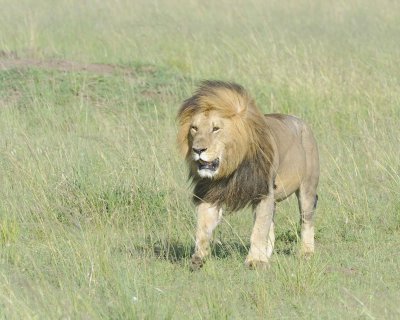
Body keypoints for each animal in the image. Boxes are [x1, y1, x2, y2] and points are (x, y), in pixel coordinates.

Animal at [177, 80, 318, 270]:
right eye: (194, 128)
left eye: (216, 129)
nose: (198, 150)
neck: (231, 167)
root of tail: (303, 122)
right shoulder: (210, 193)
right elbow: (203, 227)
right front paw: (198, 257)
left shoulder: (263, 192)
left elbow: (259, 230)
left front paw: (255, 261)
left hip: (307, 189)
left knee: (306, 221)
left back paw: (306, 252)